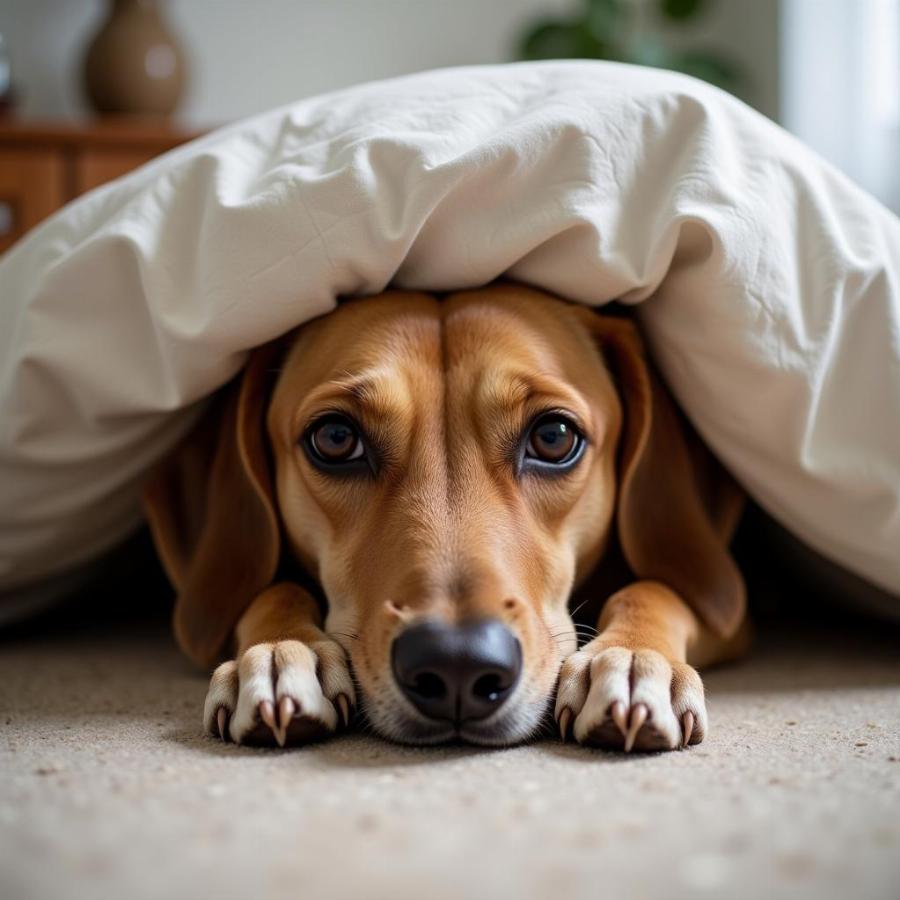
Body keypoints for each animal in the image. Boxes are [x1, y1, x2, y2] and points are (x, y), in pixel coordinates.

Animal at [144, 284, 748, 752]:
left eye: (554, 437)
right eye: (335, 438)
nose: (458, 663)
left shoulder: (731, 622)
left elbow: (655, 588)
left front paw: (632, 657)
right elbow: (272, 589)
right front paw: (279, 651)